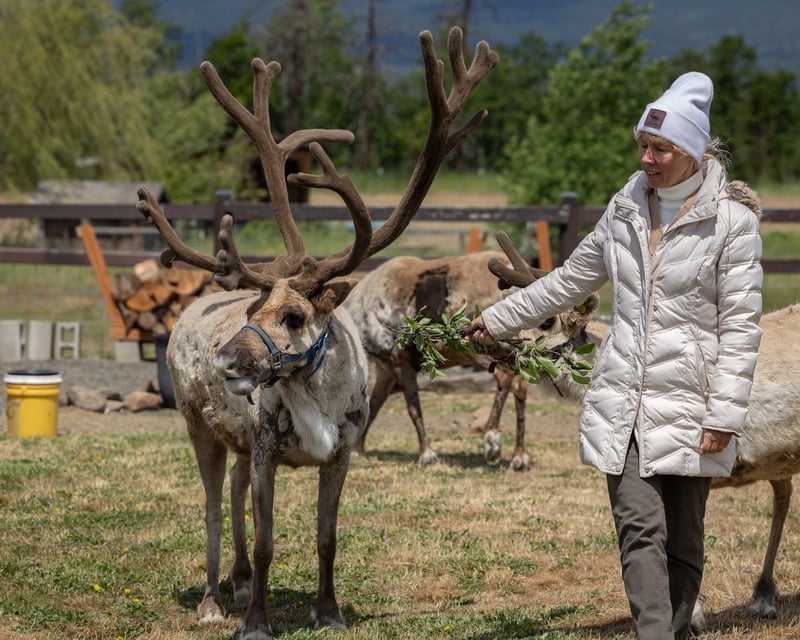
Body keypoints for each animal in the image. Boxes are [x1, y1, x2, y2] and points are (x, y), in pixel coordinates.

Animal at [135, 27, 498, 639]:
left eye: (294, 316)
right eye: (253, 306)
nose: (226, 360)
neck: (315, 399)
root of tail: (188, 309)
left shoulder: (340, 453)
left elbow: (327, 539)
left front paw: (328, 612)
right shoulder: (265, 450)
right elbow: (265, 542)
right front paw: (256, 621)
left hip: (235, 441)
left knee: (232, 491)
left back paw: (236, 582)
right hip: (198, 426)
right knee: (211, 506)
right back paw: (213, 600)